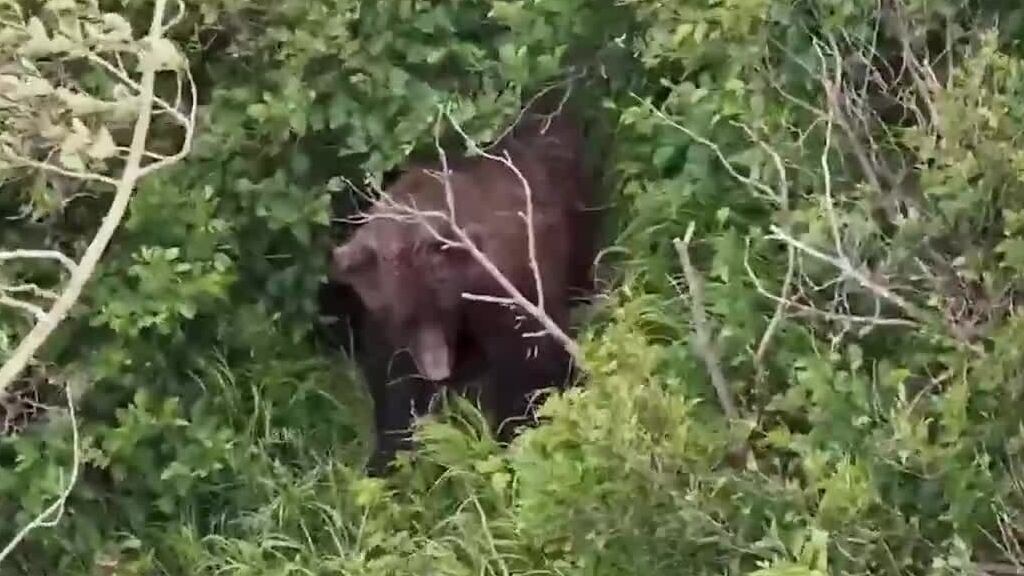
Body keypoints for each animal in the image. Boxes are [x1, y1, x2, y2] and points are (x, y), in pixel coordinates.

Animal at [326, 108, 597, 475]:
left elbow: (530, 363)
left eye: (441, 308)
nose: (437, 371)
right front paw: (387, 458)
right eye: (402, 318)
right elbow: (392, 383)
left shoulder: (503, 287)